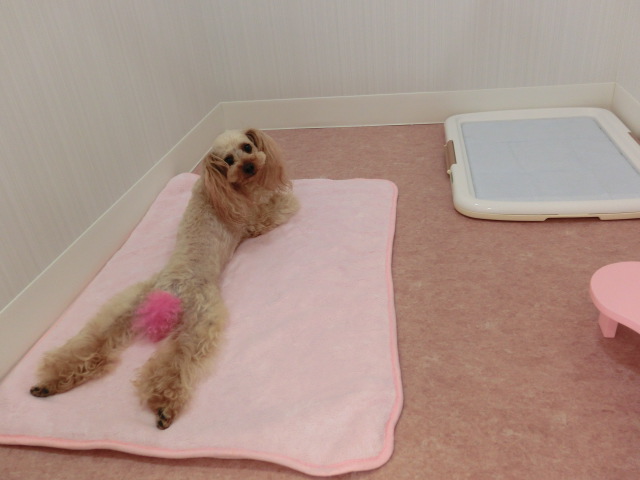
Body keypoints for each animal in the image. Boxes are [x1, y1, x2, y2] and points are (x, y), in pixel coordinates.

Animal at [29, 128, 299, 429]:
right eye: (229, 160)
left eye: (247, 147)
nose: (250, 166)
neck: (220, 185)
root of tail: (168, 293)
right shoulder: (253, 221)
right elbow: (282, 204)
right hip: (199, 322)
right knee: (178, 362)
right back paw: (165, 406)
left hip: (127, 307)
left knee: (90, 343)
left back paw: (50, 383)